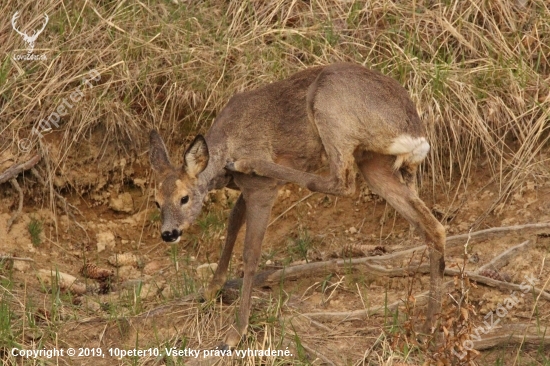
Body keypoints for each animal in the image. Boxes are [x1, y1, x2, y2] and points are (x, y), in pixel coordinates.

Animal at [149, 62, 446, 348]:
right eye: (156, 202)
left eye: (184, 198)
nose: (169, 233)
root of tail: (416, 133)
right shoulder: (246, 192)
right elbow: (232, 225)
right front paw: (210, 291)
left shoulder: (262, 189)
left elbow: (250, 254)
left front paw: (235, 333)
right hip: (374, 161)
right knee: (432, 226)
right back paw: (428, 326)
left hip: (330, 109)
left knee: (343, 182)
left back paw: (249, 163)